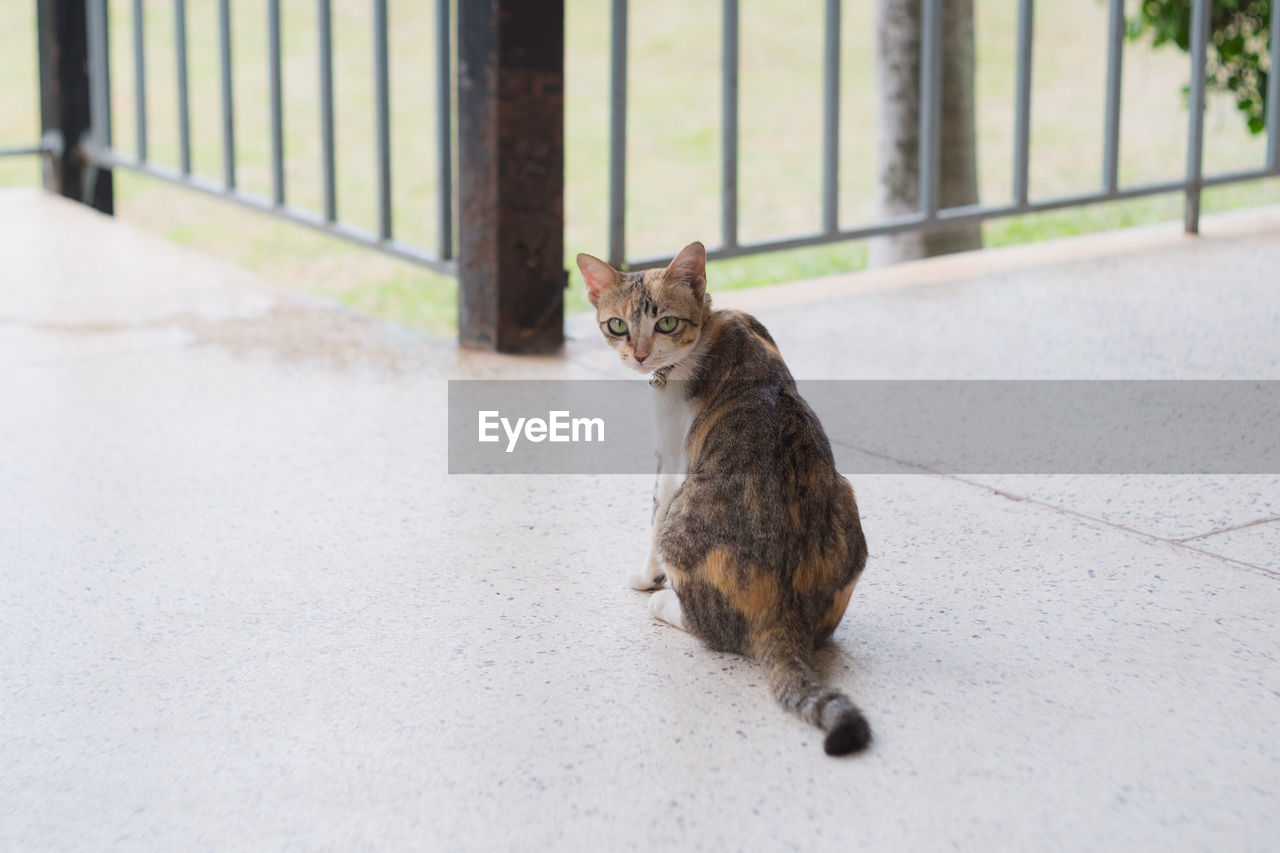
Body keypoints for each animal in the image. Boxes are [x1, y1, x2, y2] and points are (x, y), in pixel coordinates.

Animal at [578, 242, 870, 753]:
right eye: (617, 325)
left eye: (666, 323)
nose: (639, 355)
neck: (713, 325)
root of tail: (783, 618)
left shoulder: (672, 453)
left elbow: (653, 512)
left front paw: (645, 578)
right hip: (847, 502)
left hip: (684, 523)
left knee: (711, 630)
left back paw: (665, 603)